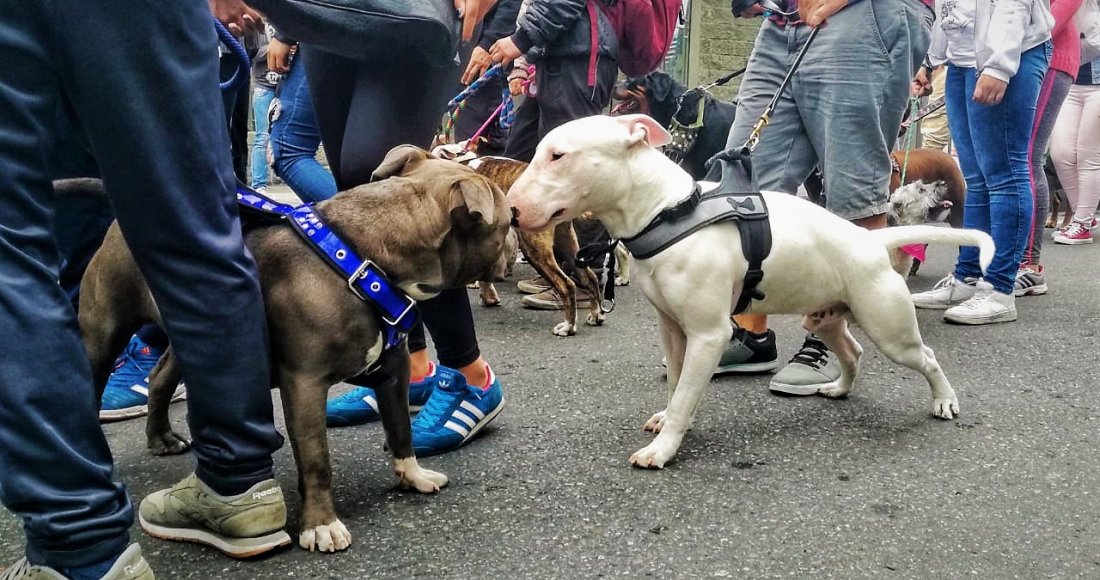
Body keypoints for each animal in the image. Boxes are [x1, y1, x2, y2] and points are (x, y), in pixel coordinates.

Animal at [77, 146, 514, 554]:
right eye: (507, 221)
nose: (518, 217)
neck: (365, 257)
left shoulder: (395, 371)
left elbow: (400, 428)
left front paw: (413, 475)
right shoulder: (305, 383)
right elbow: (317, 458)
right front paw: (321, 525)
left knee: (160, 377)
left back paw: (161, 438)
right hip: (103, 331)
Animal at [506, 114, 998, 471]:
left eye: (558, 155)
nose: (510, 209)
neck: (667, 210)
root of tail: (872, 241)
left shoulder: (708, 335)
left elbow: (686, 394)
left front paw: (664, 449)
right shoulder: (672, 329)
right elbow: (676, 385)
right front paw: (667, 421)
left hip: (890, 328)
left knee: (927, 358)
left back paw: (944, 400)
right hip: (827, 316)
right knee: (852, 352)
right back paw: (839, 387)